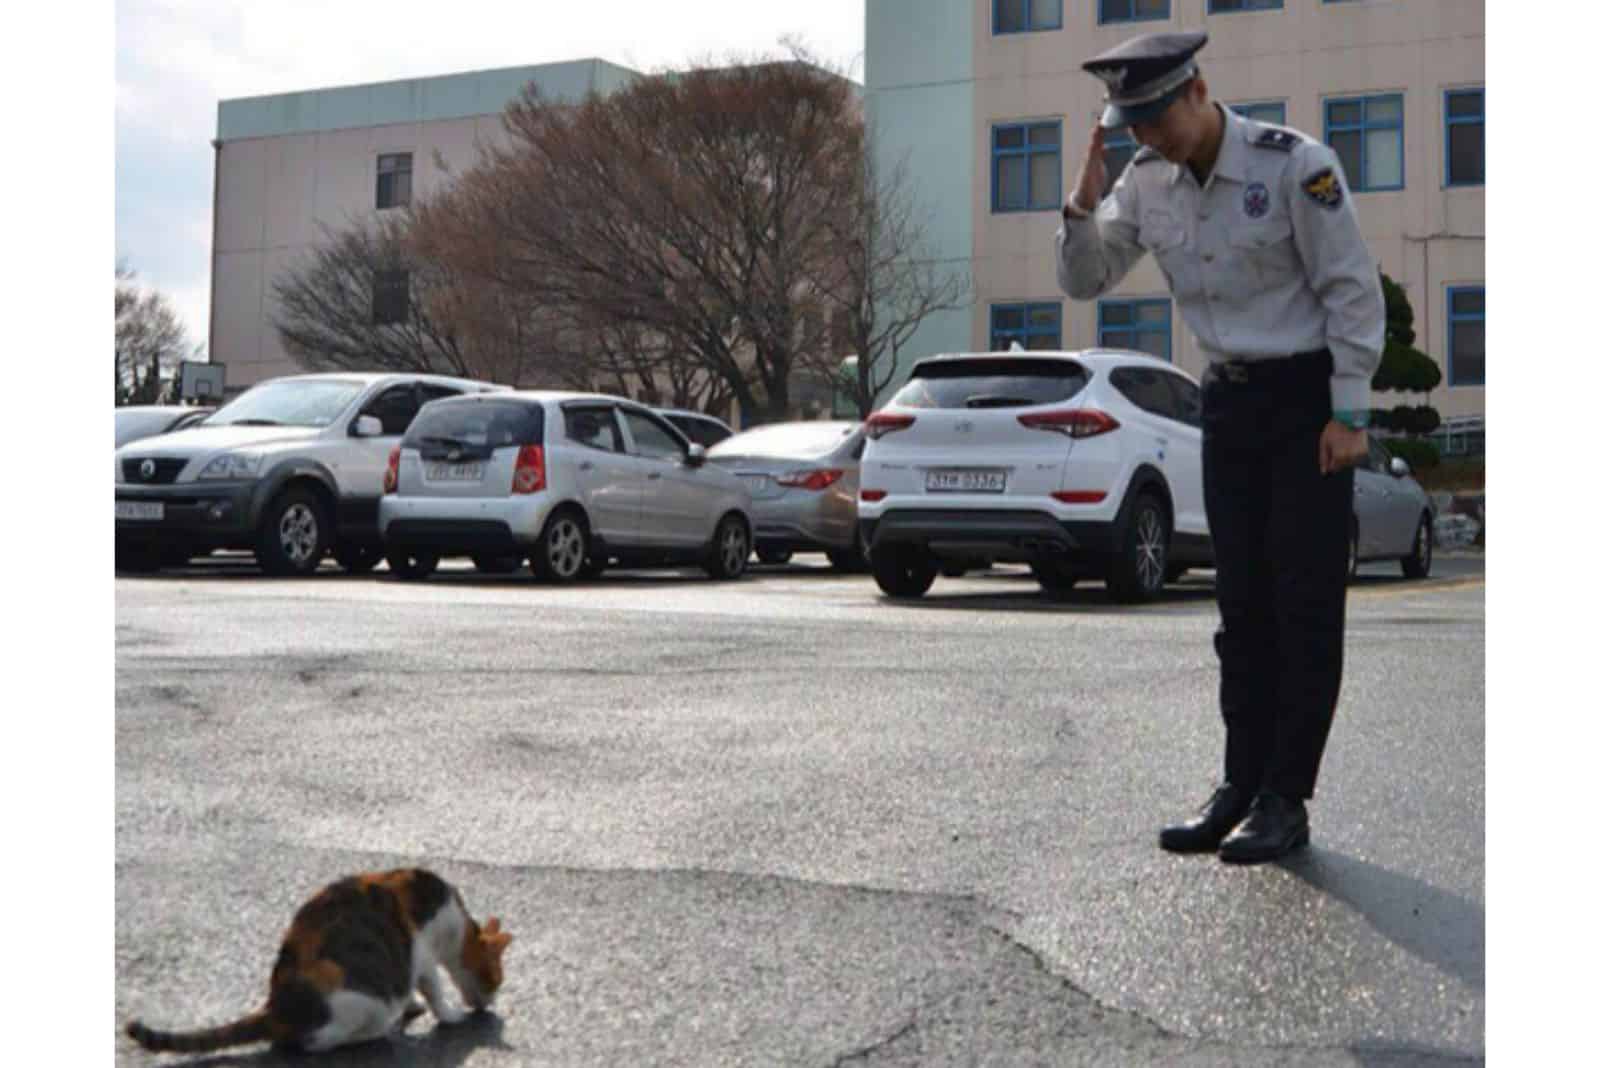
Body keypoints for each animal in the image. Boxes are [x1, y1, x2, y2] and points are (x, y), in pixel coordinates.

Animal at [124, 869, 512, 1055]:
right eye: (496, 979)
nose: (492, 1003)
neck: (457, 923)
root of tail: (274, 1008)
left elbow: (417, 989)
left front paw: (414, 1004)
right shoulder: (423, 952)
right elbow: (433, 987)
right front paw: (449, 1014)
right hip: (360, 1000)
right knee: (315, 1043)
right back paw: (373, 1033)